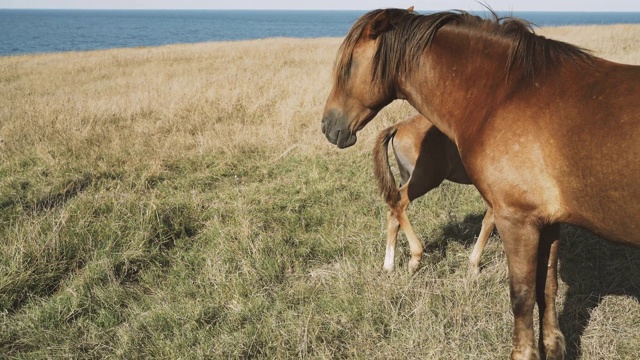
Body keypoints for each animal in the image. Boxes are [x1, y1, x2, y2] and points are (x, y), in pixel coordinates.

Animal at [370, 114, 496, 274]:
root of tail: (399, 127)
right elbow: (490, 220)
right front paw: (474, 267)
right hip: (424, 180)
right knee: (398, 203)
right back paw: (415, 258)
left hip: (407, 177)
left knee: (393, 213)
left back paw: (389, 266)